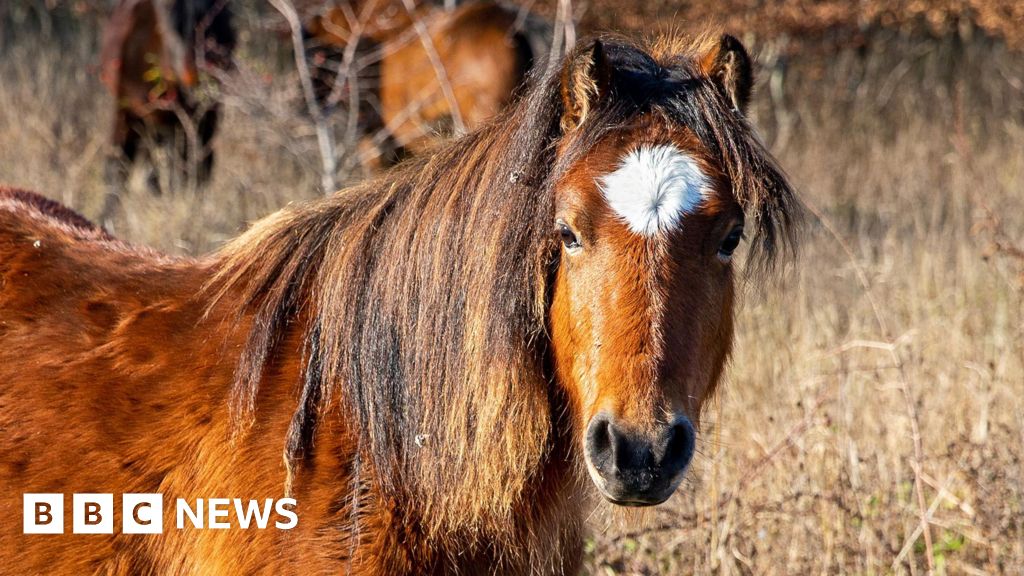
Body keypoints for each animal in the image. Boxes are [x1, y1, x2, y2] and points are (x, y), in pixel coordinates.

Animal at [100, 0, 235, 192]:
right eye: (171, 27)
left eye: (215, 18)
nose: (195, 75)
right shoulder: (159, 118)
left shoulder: (204, 116)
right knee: (120, 163)